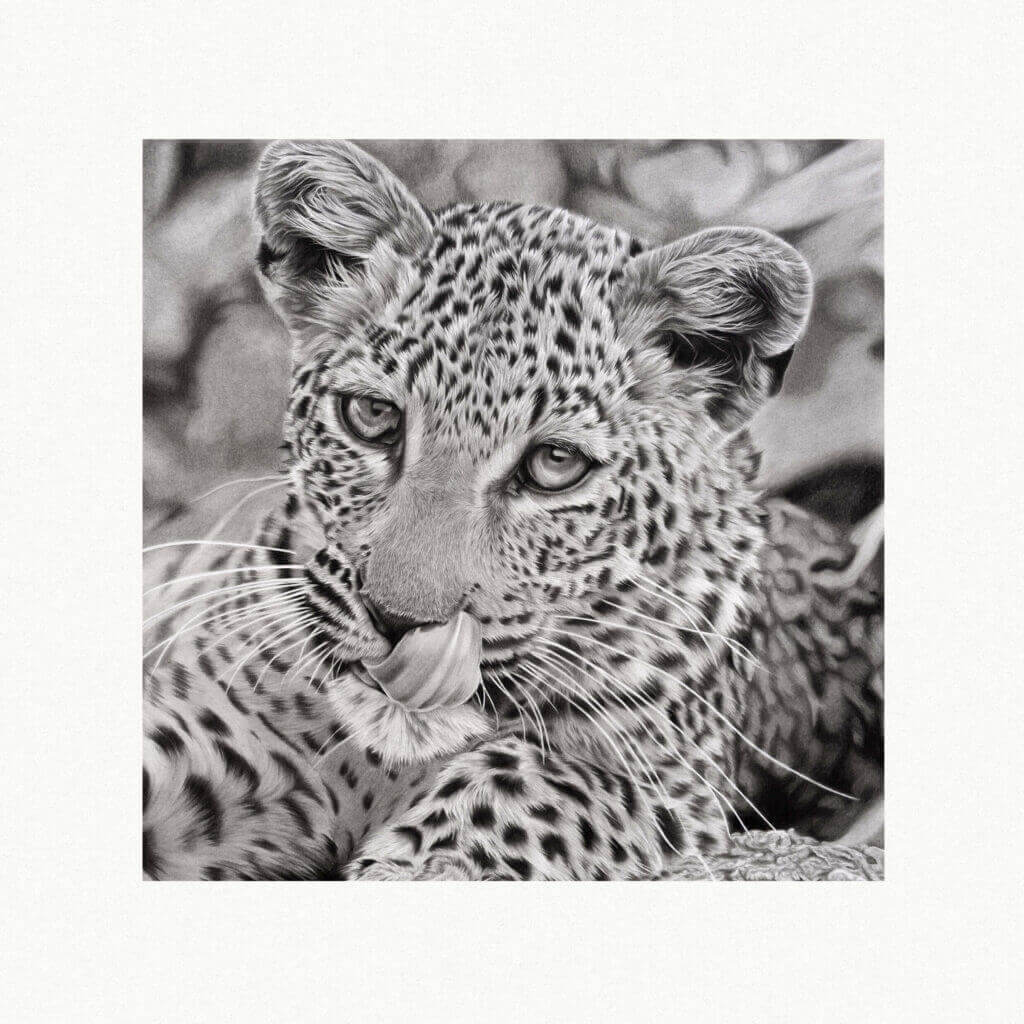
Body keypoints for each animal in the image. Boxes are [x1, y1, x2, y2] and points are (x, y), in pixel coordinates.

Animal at [143, 139, 882, 880]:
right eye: (373, 416)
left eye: (555, 464)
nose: (398, 622)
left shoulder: (665, 774)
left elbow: (527, 786)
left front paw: (419, 868)